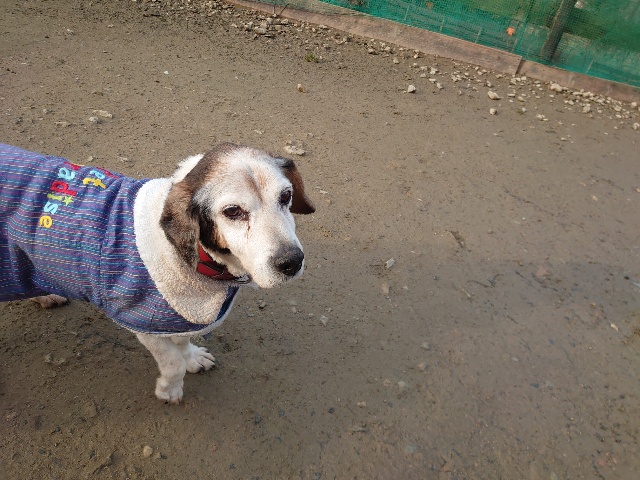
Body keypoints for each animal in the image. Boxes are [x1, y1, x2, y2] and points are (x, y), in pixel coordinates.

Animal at [0, 142, 315, 403]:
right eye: (233, 211)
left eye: (286, 196)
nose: (292, 262)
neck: (192, 254)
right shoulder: (145, 324)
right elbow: (173, 364)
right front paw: (170, 390)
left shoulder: (180, 317)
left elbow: (183, 342)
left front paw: (193, 358)